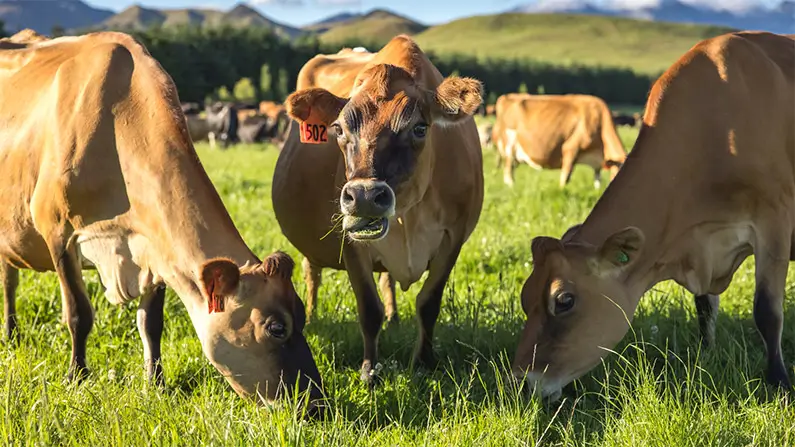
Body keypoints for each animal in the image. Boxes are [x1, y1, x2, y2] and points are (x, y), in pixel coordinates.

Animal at [0, 30, 324, 411]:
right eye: (276, 328)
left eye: (302, 314)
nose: (317, 403)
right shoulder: (58, 232)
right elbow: (78, 314)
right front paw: (76, 377)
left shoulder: (153, 247)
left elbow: (151, 323)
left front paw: (155, 381)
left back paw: (11, 333)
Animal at [272, 35, 484, 384]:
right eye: (339, 129)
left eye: (420, 128)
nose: (365, 196)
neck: (408, 216)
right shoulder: (350, 241)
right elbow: (369, 310)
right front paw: (370, 370)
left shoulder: (454, 237)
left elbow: (429, 303)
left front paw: (424, 361)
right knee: (311, 272)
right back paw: (313, 315)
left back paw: (394, 317)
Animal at [493, 93, 627, 189]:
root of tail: (507, 96)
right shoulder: (571, 148)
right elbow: (565, 178)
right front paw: (562, 190)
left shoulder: (597, 164)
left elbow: (597, 181)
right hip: (509, 145)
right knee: (508, 172)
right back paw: (512, 187)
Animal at [513, 32, 795, 400]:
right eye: (525, 296)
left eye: (564, 300)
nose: (520, 381)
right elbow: (704, 306)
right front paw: (706, 354)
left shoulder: (774, 219)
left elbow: (767, 311)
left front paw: (779, 382)